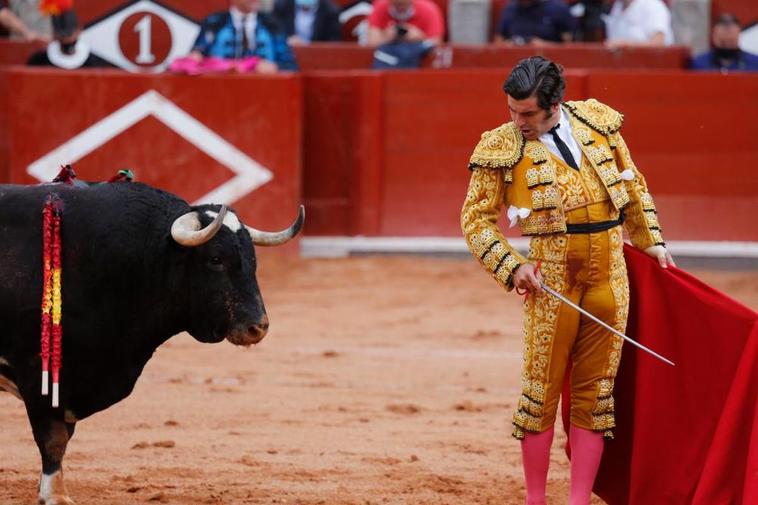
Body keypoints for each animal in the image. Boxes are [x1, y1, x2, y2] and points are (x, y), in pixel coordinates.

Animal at [0, 182, 302, 504]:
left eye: (253, 260)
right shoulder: (40, 371)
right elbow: (54, 438)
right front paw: (56, 494)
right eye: (216, 260)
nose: (258, 327)